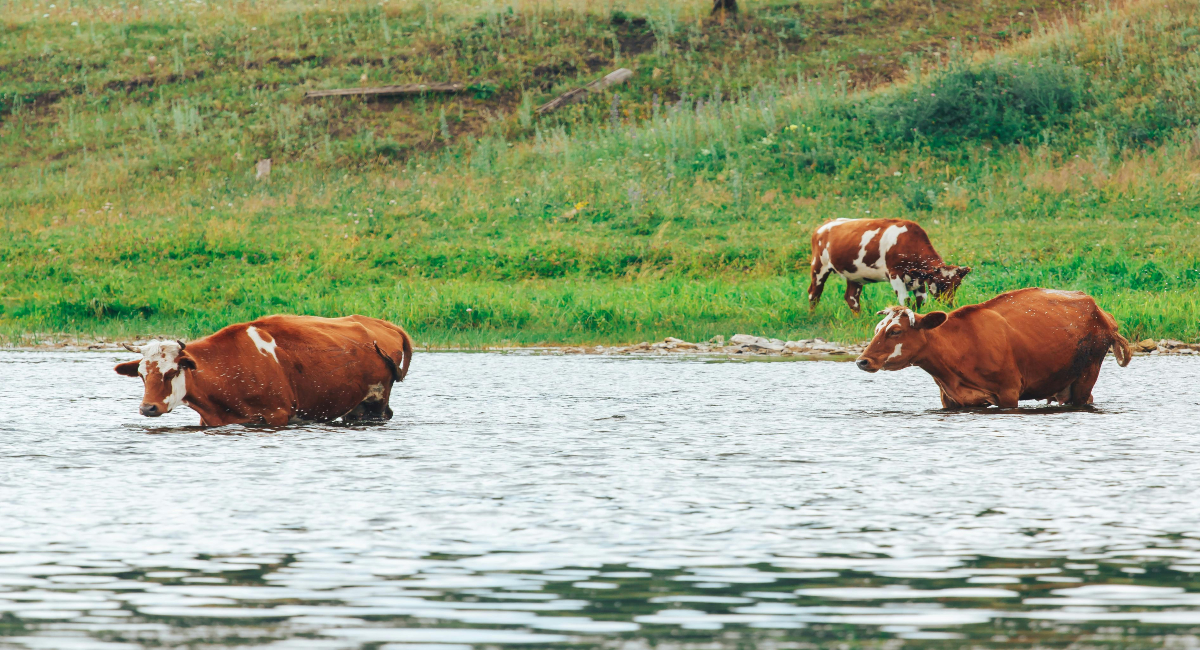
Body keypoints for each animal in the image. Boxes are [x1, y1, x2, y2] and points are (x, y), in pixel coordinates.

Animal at [114, 316, 412, 426]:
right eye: (142, 375)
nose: (148, 408)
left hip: (374, 404)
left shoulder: (277, 415)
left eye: (171, 372)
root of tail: (380, 323)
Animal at [806, 219, 964, 316]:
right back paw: (812, 316)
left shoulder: (919, 278)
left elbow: (921, 300)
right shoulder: (895, 274)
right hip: (819, 266)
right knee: (814, 293)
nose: (949, 304)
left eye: (957, 285)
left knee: (851, 298)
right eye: (940, 284)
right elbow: (905, 300)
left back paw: (860, 318)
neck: (908, 242)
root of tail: (825, 224)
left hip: (854, 274)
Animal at [859, 289, 1128, 410]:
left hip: (1087, 376)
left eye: (895, 331)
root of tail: (1101, 312)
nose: (862, 360)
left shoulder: (1009, 392)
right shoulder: (951, 399)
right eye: (877, 329)